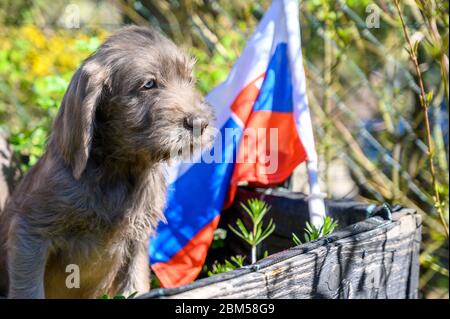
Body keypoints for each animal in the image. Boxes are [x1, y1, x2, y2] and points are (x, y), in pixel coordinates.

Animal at [0, 25, 214, 300]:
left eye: (190, 80)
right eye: (149, 84)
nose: (201, 122)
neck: (119, 170)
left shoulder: (137, 239)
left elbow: (134, 284)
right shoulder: (30, 231)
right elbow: (29, 288)